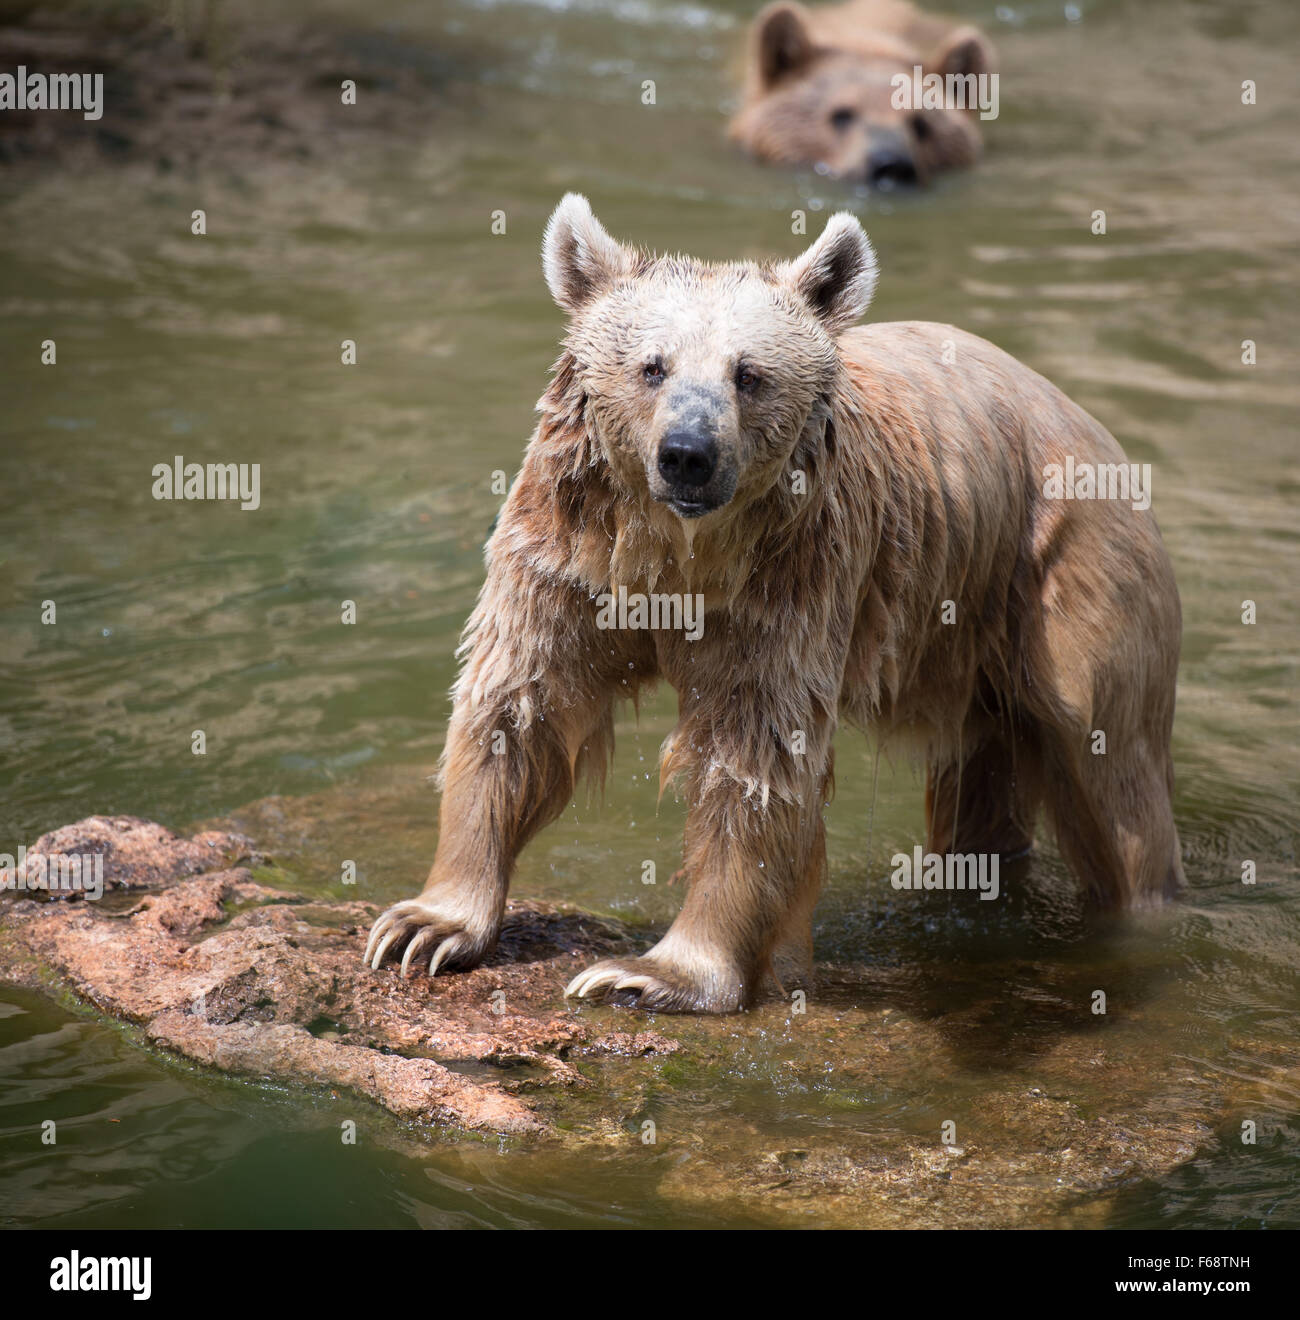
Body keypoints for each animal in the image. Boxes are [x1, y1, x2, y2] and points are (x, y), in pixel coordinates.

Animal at [365, 195, 1184, 1013]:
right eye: (652, 365)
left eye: (748, 374)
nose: (688, 453)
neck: (678, 553)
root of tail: (1083, 418)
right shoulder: (569, 556)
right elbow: (518, 703)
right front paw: (425, 927)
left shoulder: (789, 583)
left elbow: (754, 756)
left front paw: (650, 972)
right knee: (984, 783)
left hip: (1065, 579)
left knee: (1115, 779)